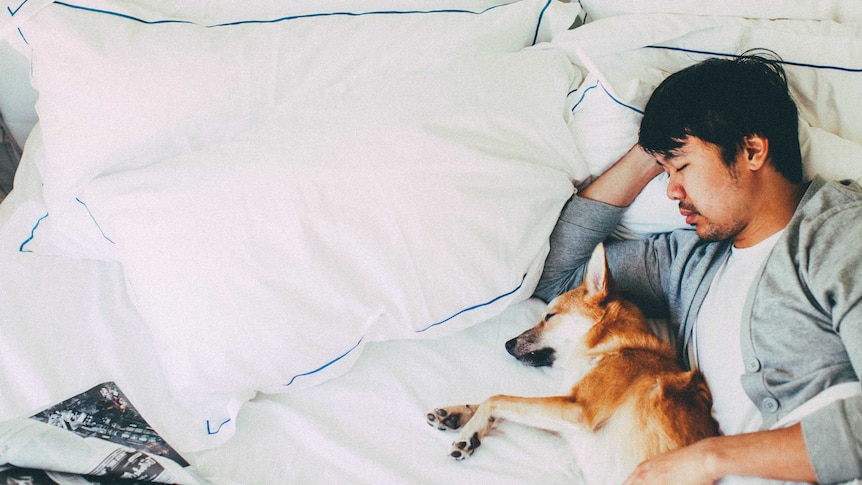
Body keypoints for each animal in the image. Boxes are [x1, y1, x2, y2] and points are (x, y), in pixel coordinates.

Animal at [428, 244, 720, 482]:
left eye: (549, 316)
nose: (507, 344)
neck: (613, 348)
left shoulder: (579, 410)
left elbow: (497, 398)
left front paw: (468, 431)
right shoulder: (571, 448)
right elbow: (500, 412)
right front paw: (459, 415)